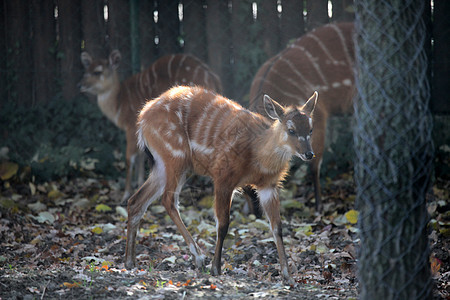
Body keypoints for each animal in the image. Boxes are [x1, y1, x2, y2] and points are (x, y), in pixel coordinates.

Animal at [80, 50, 223, 203]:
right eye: (86, 70)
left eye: (97, 72)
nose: (80, 85)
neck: (119, 103)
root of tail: (213, 77)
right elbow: (140, 157)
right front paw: (139, 183)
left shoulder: (131, 127)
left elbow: (129, 158)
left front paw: (125, 195)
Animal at [125, 85, 318, 284]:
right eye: (291, 130)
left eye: (311, 129)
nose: (309, 154)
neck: (257, 155)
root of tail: (142, 118)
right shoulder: (224, 177)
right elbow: (223, 223)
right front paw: (216, 268)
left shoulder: (268, 186)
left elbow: (277, 227)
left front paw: (287, 275)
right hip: (176, 157)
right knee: (168, 200)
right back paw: (199, 257)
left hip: (164, 164)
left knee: (136, 201)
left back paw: (130, 262)